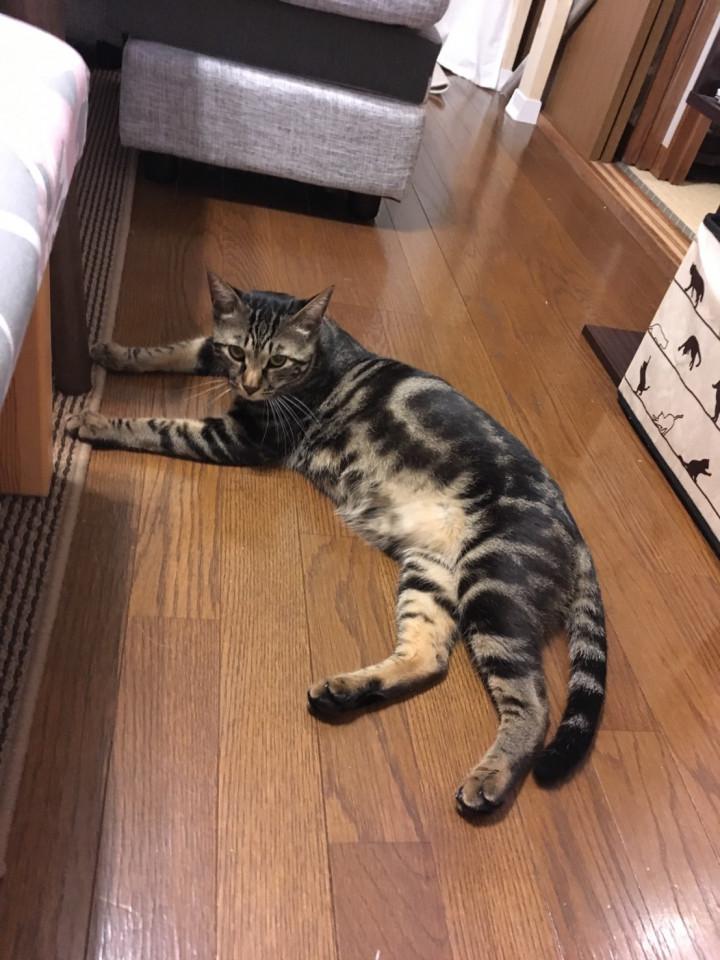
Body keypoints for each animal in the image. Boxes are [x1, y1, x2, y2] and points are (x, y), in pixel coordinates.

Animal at [67, 272, 607, 816]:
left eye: (279, 361)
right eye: (238, 352)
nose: (250, 384)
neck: (323, 350)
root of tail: (577, 532)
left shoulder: (241, 437)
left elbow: (160, 426)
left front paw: (93, 421)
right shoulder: (213, 356)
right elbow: (176, 348)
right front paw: (110, 350)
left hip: (492, 585)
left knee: (532, 703)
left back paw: (490, 778)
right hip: (430, 572)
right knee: (428, 656)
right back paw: (344, 691)